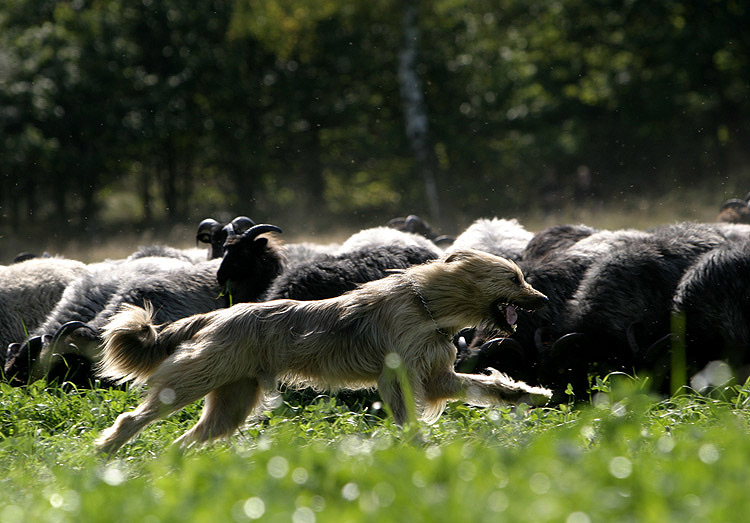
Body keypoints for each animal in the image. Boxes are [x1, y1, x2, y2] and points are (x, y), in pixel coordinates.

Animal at [95, 250, 552, 454]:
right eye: (515, 278)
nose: (544, 299)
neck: (428, 305)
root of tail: (216, 316)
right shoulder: (398, 377)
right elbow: (407, 413)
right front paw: (418, 449)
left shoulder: (438, 377)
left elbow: (486, 386)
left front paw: (528, 393)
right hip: (195, 378)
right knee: (135, 417)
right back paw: (106, 451)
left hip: (232, 401)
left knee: (187, 439)